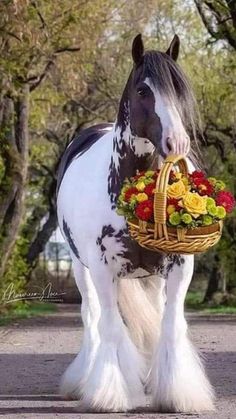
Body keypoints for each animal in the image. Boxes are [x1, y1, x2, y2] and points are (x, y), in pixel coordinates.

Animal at [56, 35, 213, 414]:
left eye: (179, 89)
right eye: (143, 90)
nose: (178, 144)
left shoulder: (179, 267)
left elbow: (170, 326)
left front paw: (177, 394)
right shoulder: (101, 269)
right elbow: (110, 327)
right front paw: (109, 395)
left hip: (153, 278)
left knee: (153, 317)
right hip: (81, 270)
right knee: (91, 318)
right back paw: (82, 381)